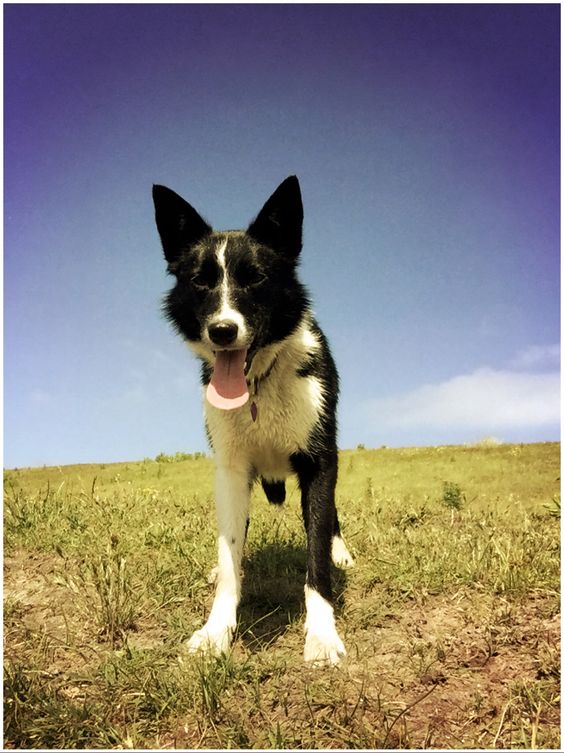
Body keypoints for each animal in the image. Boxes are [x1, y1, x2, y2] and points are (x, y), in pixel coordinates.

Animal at [150, 176, 352, 664]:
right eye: (200, 281)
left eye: (255, 277)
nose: (222, 331)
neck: (260, 380)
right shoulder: (230, 469)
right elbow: (230, 562)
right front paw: (216, 630)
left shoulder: (320, 460)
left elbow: (316, 556)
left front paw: (322, 634)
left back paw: (341, 552)